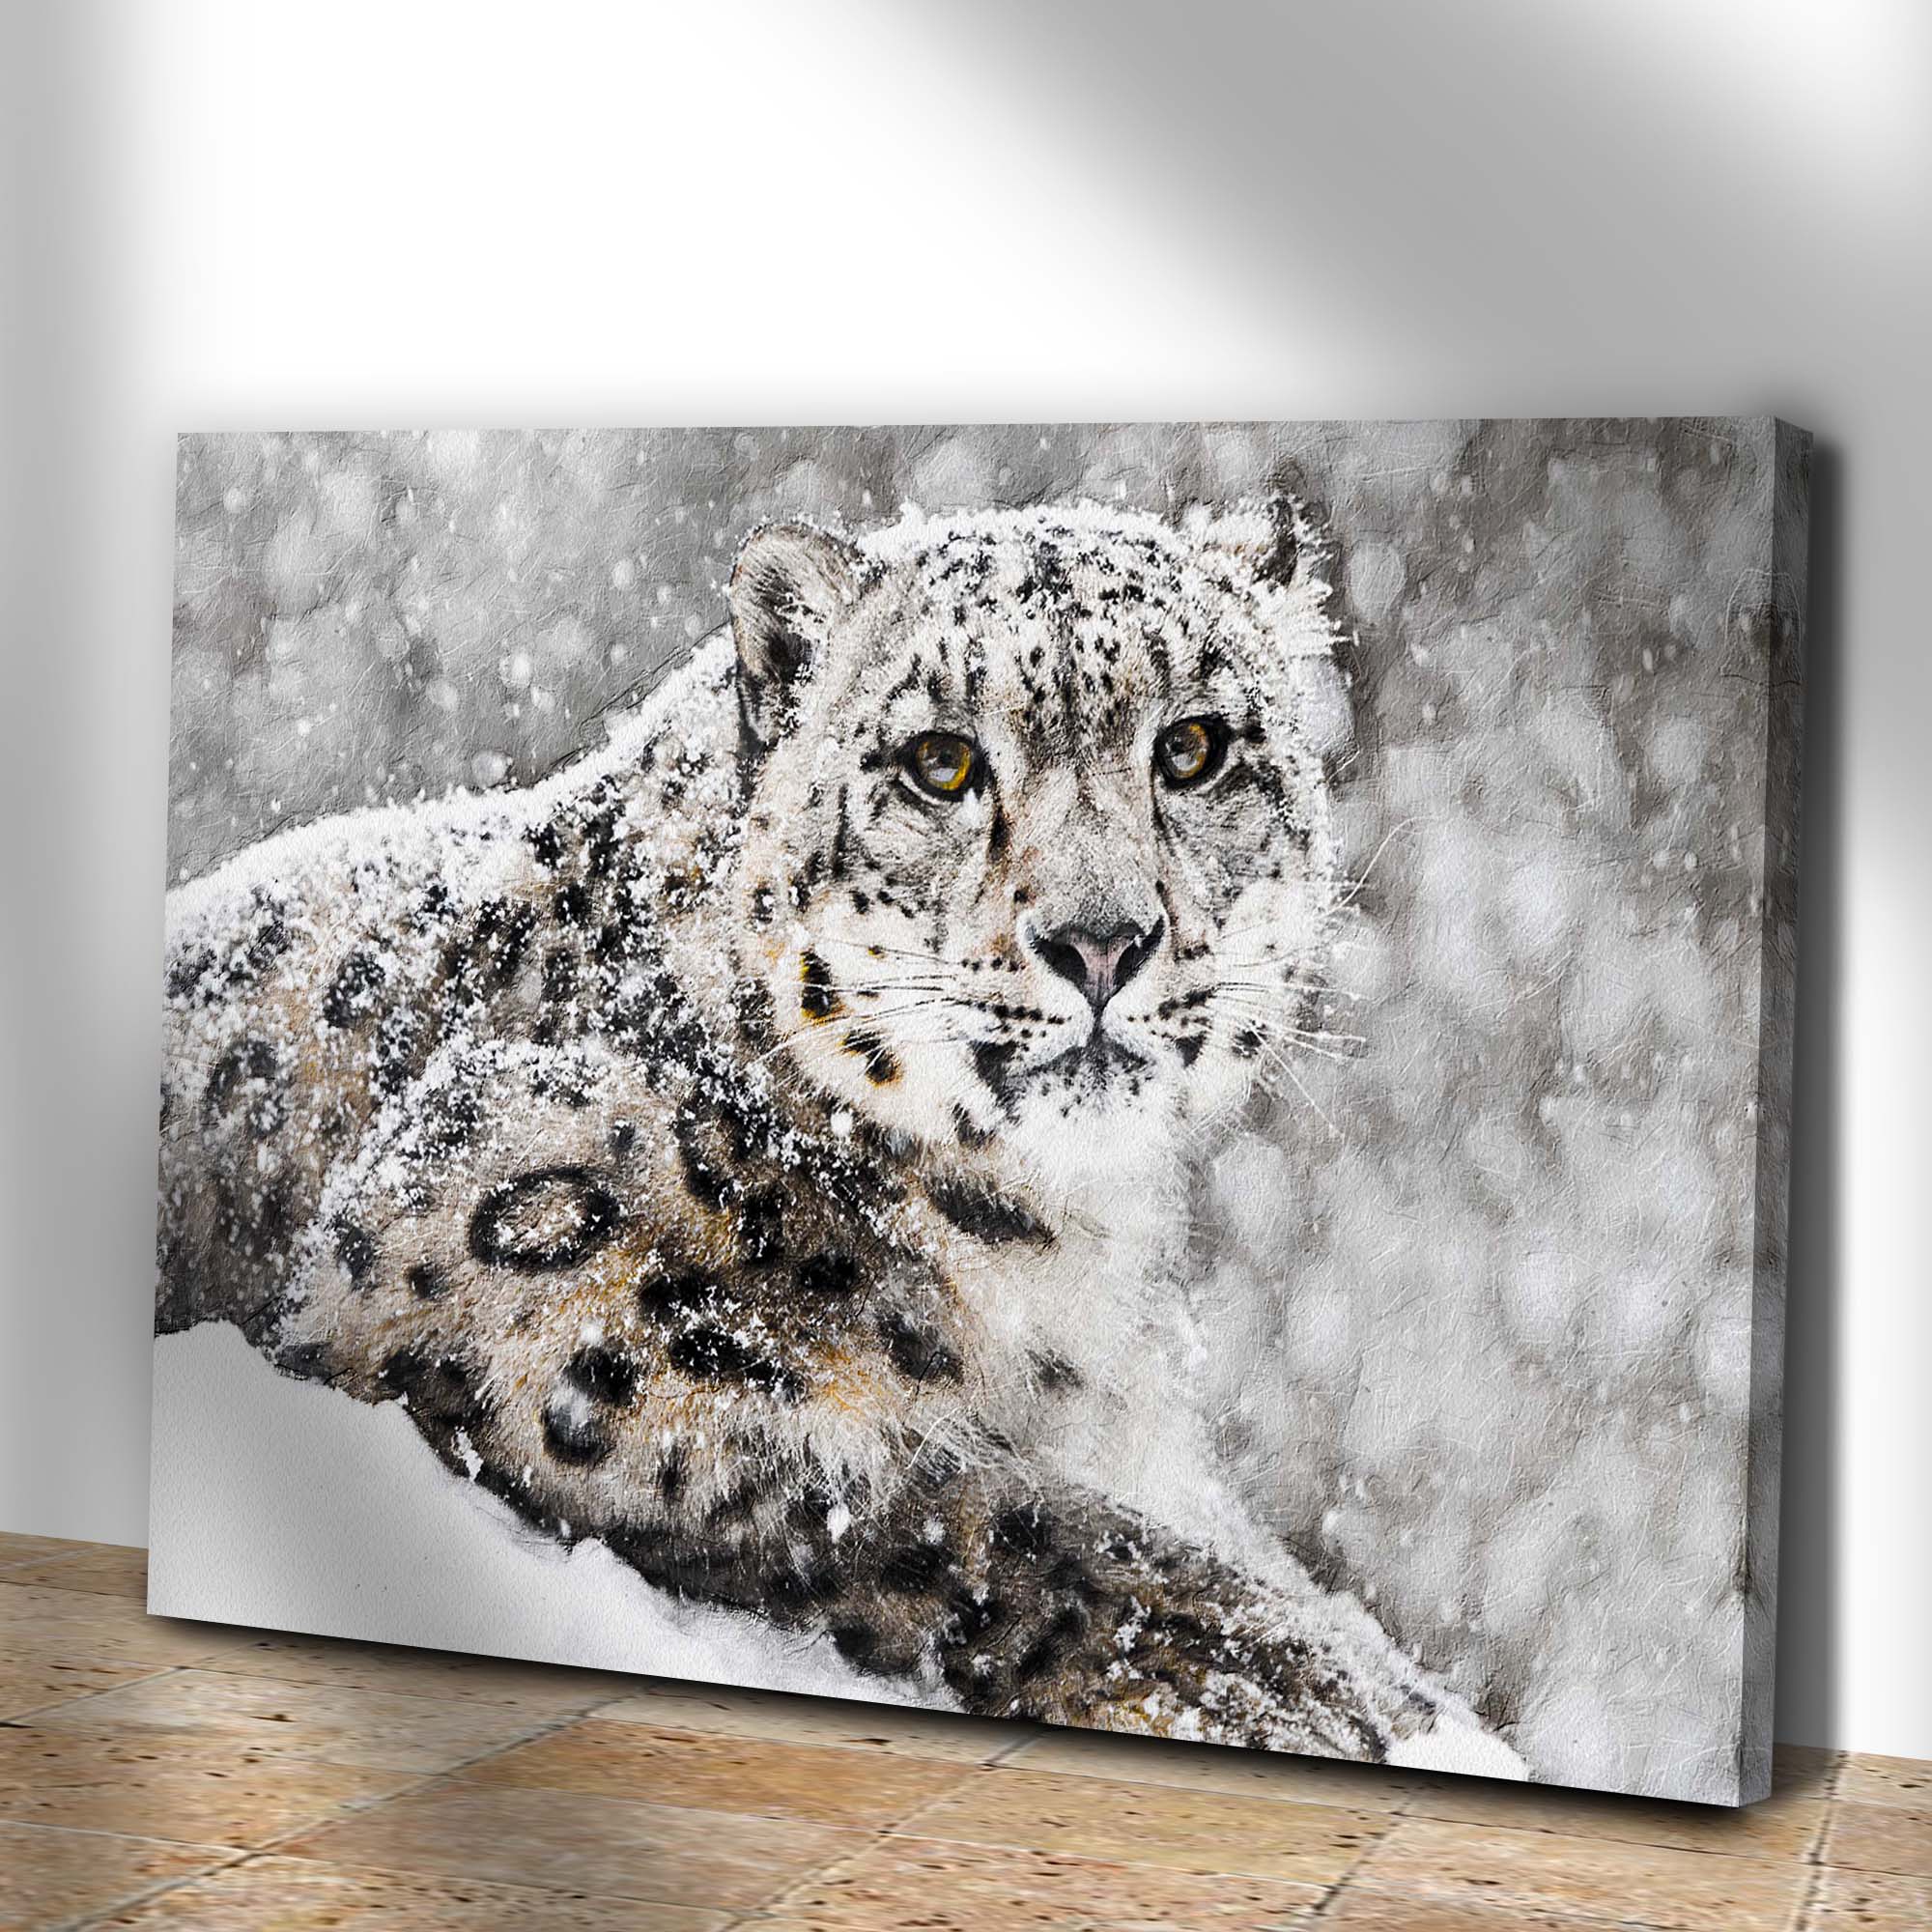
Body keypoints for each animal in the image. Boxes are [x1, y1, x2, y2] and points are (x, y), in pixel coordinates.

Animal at [155, 494, 1521, 1775]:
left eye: (1190, 747)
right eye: (940, 762)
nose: (1100, 939)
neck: (1054, 1256)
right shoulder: (506, 1292)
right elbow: (920, 1507)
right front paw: (1290, 1682)